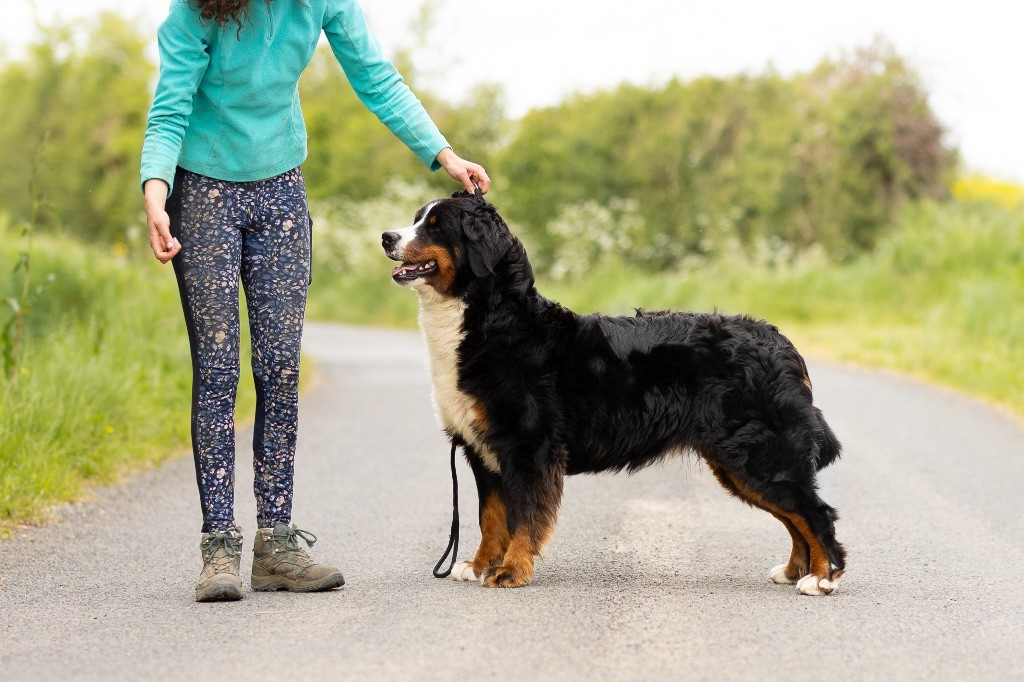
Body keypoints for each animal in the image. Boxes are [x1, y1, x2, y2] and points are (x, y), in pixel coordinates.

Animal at [380, 188, 843, 593]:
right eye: (417, 218)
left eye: (436, 227)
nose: (386, 237)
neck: (489, 322)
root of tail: (779, 341)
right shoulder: (483, 450)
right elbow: (490, 518)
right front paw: (478, 566)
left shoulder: (528, 446)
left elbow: (523, 516)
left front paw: (511, 570)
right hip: (740, 462)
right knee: (795, 518)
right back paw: (795, 571)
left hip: (757, 456)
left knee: (814, 513)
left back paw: (820, 578)